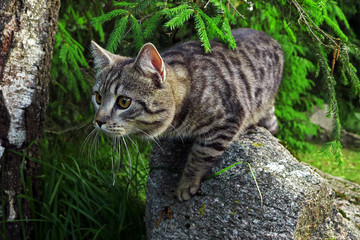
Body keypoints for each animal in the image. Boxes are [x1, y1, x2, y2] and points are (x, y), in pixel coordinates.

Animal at [90, 27, 284, 201]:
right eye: (98, 97)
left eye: (124, 101)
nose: (98, 121)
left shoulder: (228, 121)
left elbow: (201, 155)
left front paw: (186, 183)